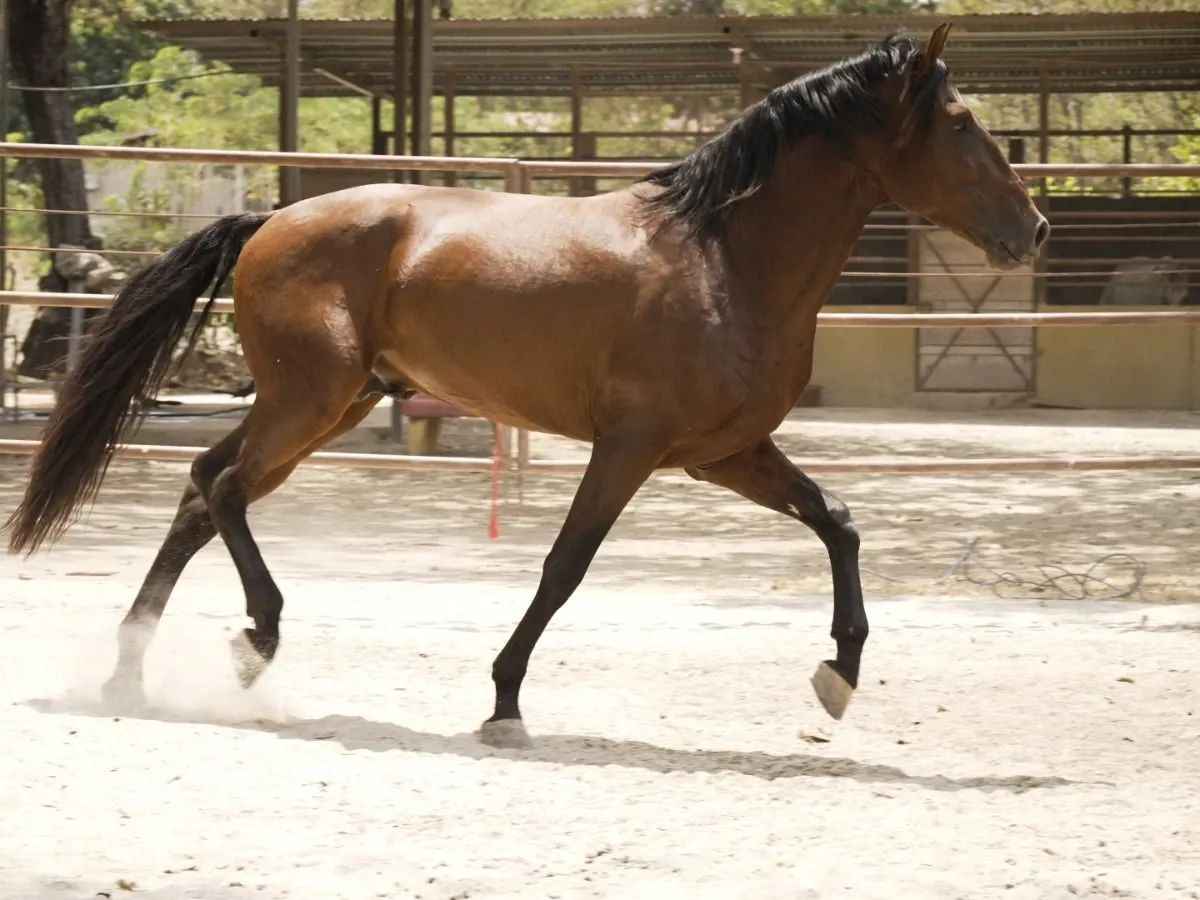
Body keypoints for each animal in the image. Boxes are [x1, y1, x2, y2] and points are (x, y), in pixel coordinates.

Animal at [6, 25, 1047, 748]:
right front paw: (504, 702)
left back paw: (129, 676)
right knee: (219, 488)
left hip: (326, 408)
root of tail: (270, 220)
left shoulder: (723, 455)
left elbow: (838, 520)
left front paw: (839, 675)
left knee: (198, 492)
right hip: (308, 404)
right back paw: (254, 641)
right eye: (961, 125)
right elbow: (564, 566)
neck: (722, 258)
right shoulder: (631, 449)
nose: (1031, 229)